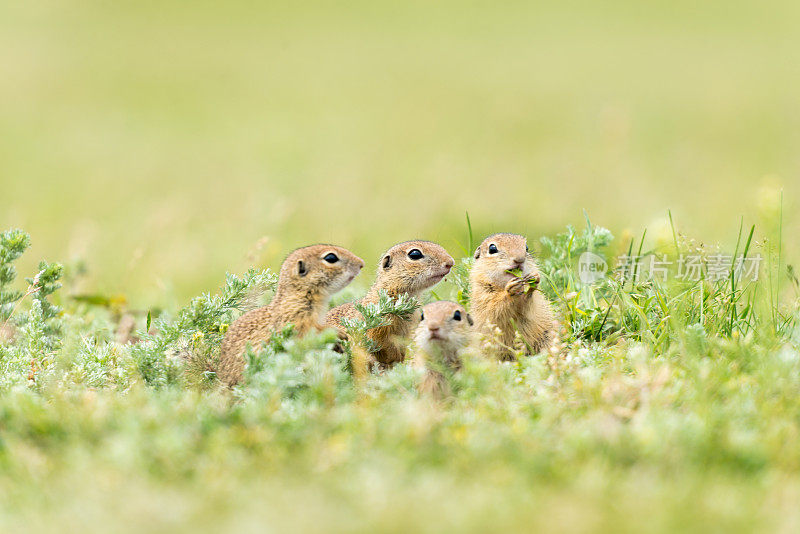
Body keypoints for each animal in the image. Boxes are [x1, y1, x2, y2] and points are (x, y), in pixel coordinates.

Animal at [472, 233, 552, 362]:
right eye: (492, 248)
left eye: (527, 248)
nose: (519, 259)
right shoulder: (483, 294)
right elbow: (493, 309)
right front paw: (510, 290)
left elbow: (528, 308)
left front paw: (533, 279)